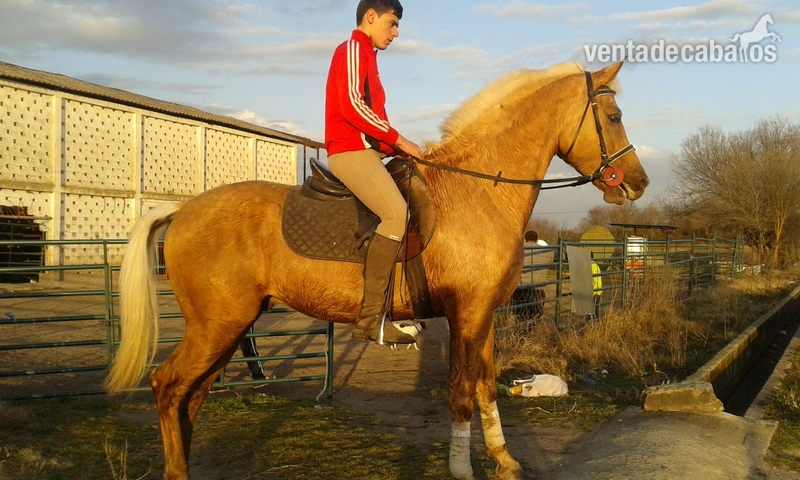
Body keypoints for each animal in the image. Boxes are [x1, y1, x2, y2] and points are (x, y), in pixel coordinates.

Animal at [104, 61, 648, 480]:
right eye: (615, 115)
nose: (638, 183)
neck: (478, 189)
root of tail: (183, 210)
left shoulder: (484, 317)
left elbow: (486, 387)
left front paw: (505, 461)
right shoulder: (465, 315)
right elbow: (460, 394)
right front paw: (462, 468)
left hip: (228, 328)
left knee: (189, 398)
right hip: (217, 326)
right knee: (168, 387)